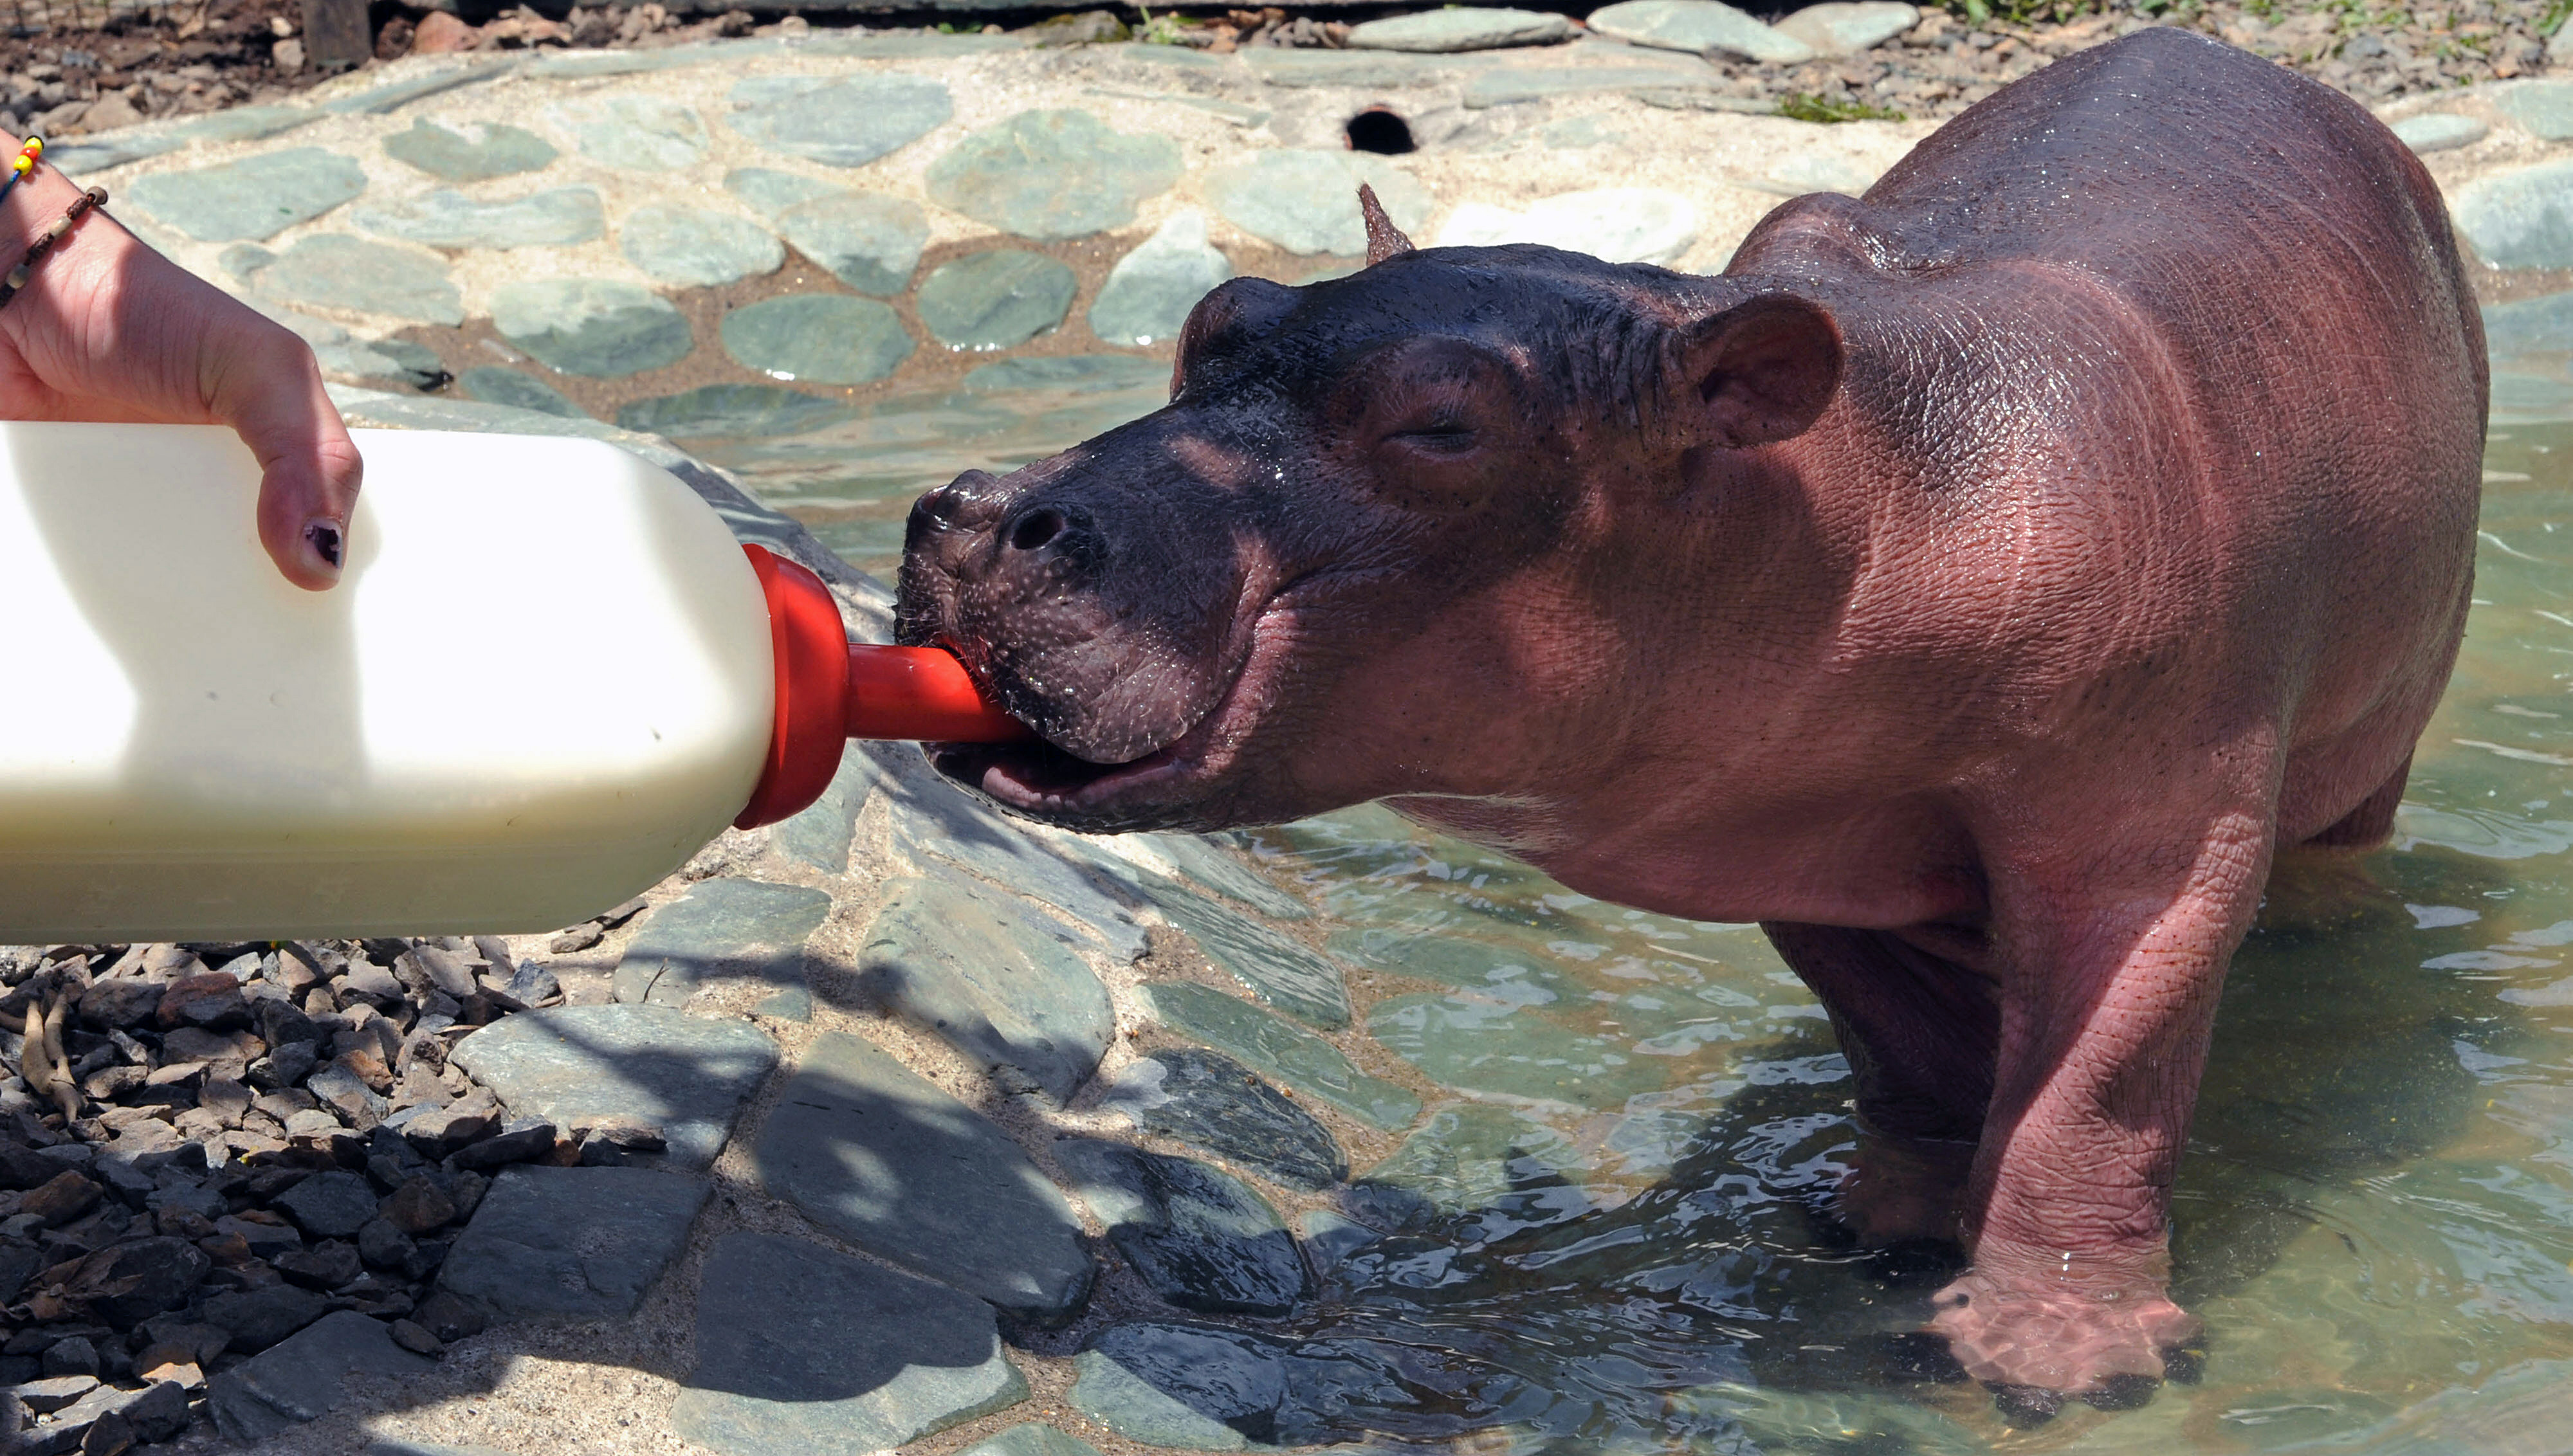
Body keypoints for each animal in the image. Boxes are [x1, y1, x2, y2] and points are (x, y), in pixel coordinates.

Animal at [896, 27, 2486, 1411]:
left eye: (1443, 424)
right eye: (1211, 320)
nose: (970, 514)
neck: (1878, 485)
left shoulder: (2148, 842)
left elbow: (2089, 1097)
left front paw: (2055, 1361)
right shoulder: (1803, 830)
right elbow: (1903, 1047)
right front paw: (1878, 1230)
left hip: (2372, 746)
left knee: (2332, 861)